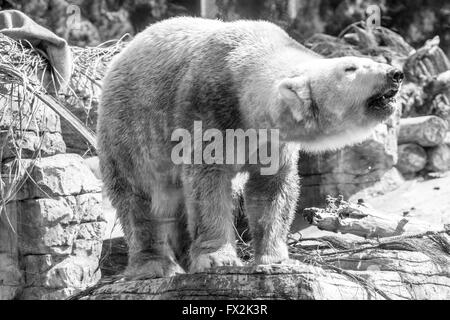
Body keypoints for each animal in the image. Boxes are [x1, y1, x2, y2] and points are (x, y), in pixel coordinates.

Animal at [96, 16, 402, 278]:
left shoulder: (272, 140)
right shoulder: (205, 112)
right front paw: (217, 258)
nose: (395, 73)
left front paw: (275, 259)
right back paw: (154, 265)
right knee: (140, 198)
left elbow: (271, 190)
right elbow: (208, 184)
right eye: (350, 68)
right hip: (129, 132)